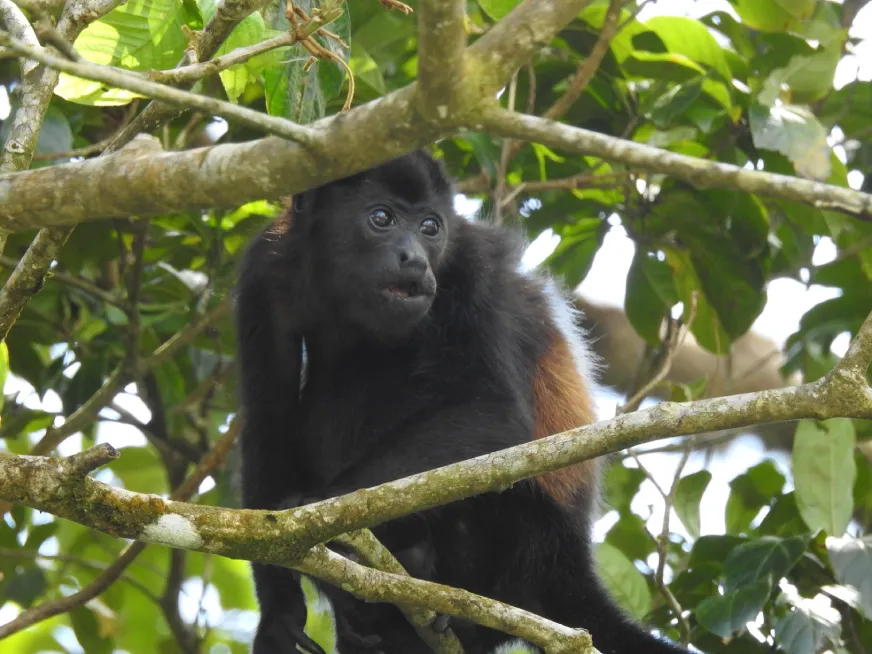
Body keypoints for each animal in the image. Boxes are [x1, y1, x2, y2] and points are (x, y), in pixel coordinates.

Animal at [235, 150, 692, 654]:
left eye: (431, 227)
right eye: (381, 218)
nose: (415, 258)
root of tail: (564, 560)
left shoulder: (474, 266)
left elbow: (493, 412)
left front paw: (321, 509)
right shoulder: (265, 269)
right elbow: (269, 418)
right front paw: (279, 612)